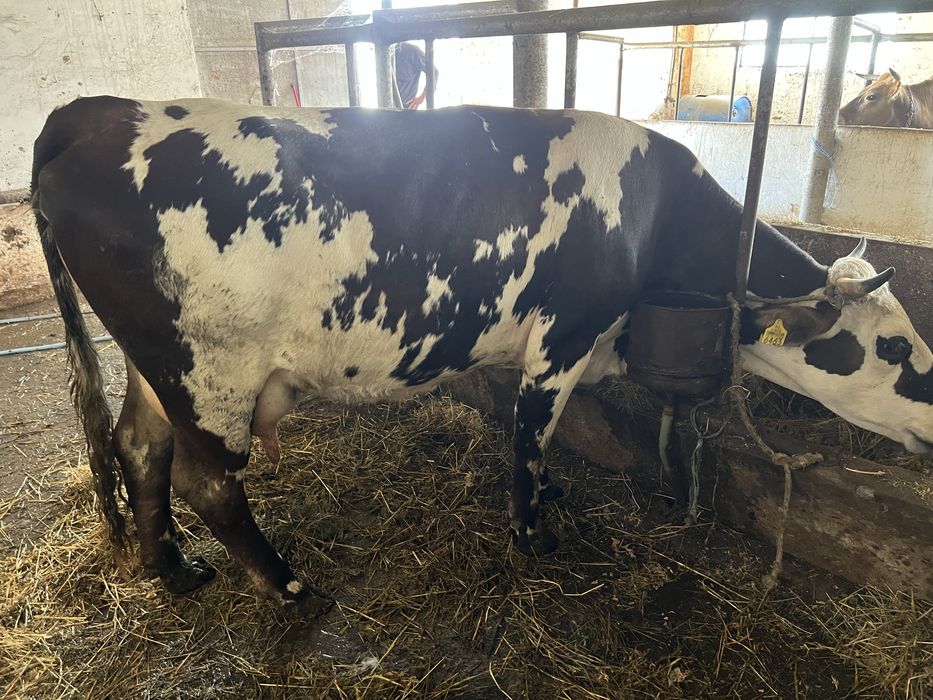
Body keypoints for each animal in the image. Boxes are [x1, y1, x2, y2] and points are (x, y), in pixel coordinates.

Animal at [32, 97, 933, 616]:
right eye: (892, 346)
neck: (651, 214)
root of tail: (100, 114)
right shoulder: (561, 338)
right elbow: (531, 437)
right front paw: (535, 533)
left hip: (156, 369)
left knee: (138, 448)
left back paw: (172, 568)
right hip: (208, 372)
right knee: (207, 482)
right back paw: (290, 587)